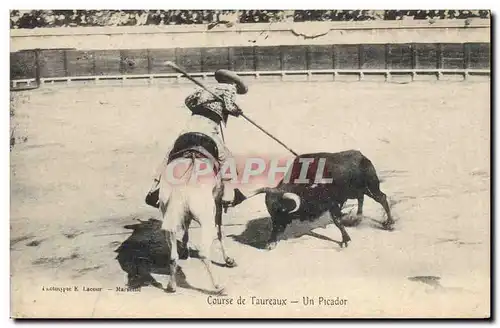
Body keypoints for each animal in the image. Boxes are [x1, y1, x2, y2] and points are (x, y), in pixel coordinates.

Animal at [236, 151, 396, 249]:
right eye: (270, 210)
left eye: (282, 210)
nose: (269, 244)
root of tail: (362, 156)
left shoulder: (332, 204)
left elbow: (337, 222)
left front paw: (345, 240)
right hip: (357, 191)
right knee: (361, 199)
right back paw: (358, 217)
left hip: (372, 187)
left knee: (382, 198)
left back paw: (389, 223)